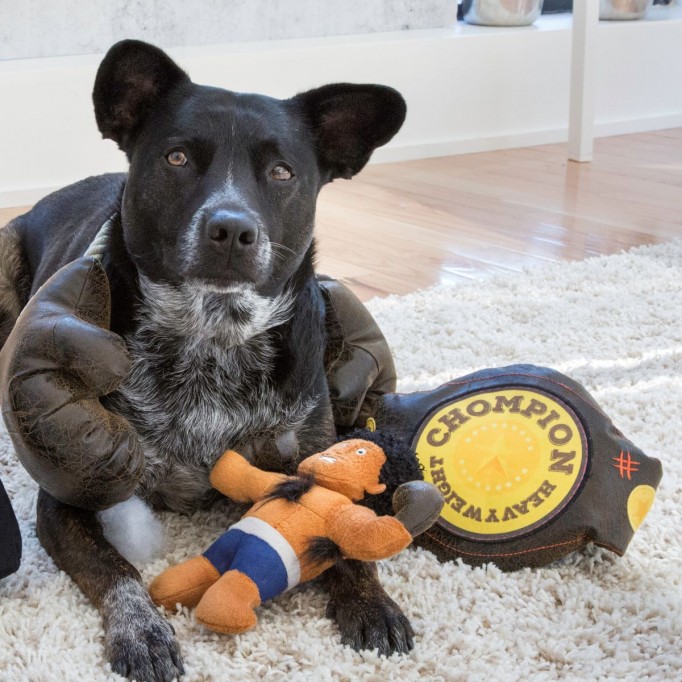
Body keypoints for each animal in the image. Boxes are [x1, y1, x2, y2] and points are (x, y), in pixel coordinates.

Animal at [0, 41, 406, 680]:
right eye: (178, 158)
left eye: (282, 172)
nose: (232, 229)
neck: (211, 339)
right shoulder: (69, 496)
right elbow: (115, 569)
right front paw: (142, 630)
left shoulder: (314, 455)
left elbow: (345, 530)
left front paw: (370, 598)